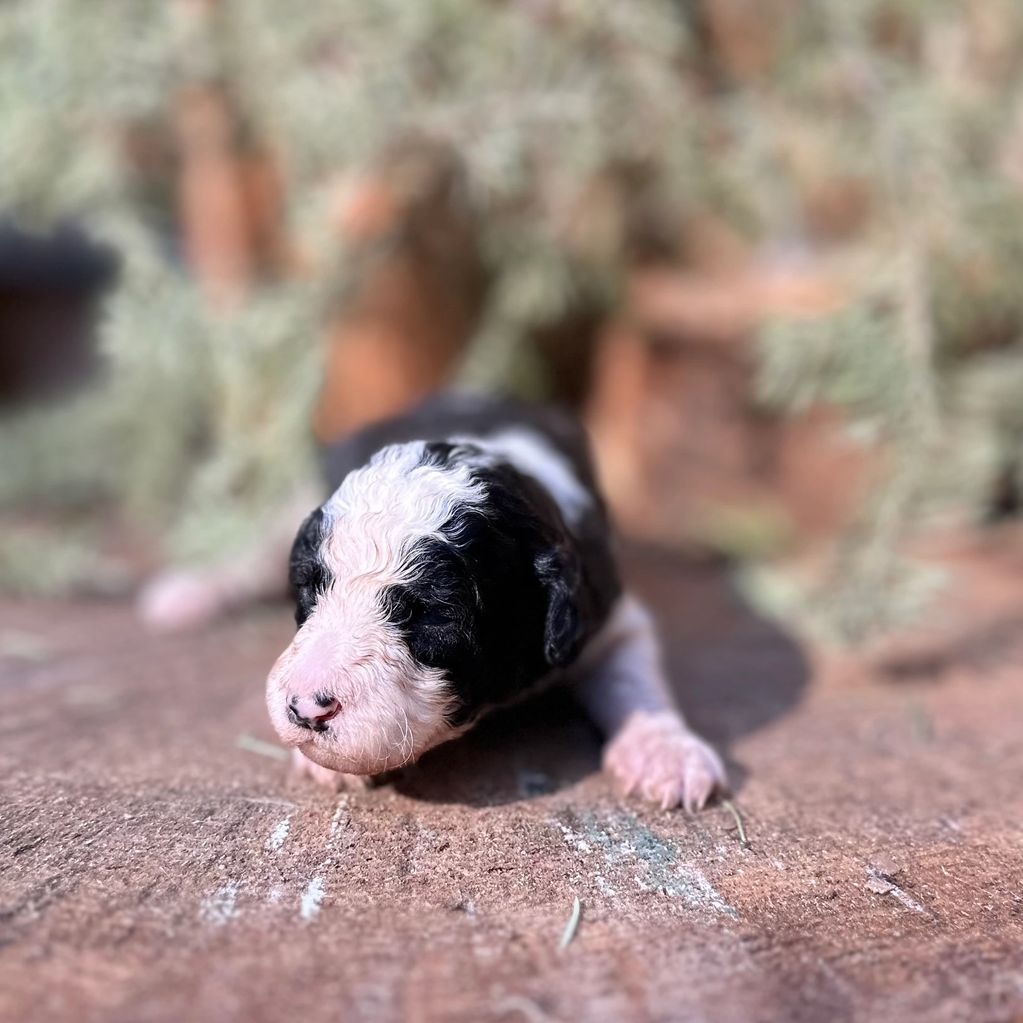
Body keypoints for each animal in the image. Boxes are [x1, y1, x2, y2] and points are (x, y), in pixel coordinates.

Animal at [264, 393, 726, 811]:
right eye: (309, 587)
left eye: (433, 615)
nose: (306, 709)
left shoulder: (606, 612)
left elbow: (633, 678)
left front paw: (667, 757)